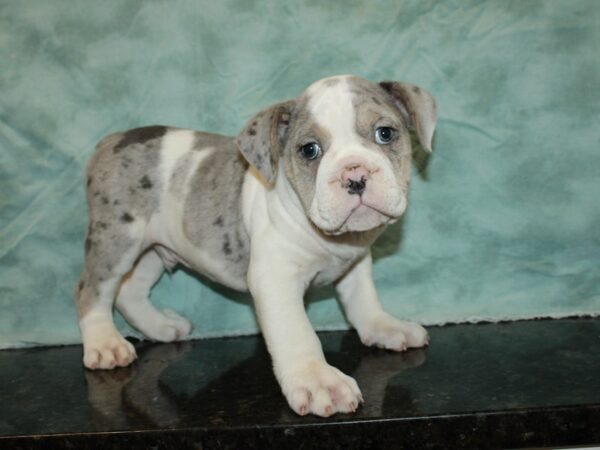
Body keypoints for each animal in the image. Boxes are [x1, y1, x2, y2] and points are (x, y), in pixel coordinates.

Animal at [77, 74, 438, 414]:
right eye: (309, 150)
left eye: (385, 134)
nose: (355, 176)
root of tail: (111, 141)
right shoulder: (275, 279)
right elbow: (297, 332)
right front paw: (318, 380)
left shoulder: (356, 263)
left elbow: (363, 301)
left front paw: (385, 327)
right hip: (117, 240)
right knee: (92, 290)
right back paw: (105, 344)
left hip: (153, 248)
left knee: (131, 290)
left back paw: (160, 326)